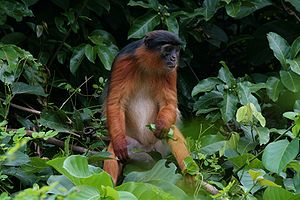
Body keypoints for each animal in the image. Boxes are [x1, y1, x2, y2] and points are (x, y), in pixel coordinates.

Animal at [102, 30, 190, 185]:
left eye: (176, 50)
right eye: (168, 49)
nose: (174, 58)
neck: (147, 65)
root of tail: (148, 147)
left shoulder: (171, 70)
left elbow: (169, 104)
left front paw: (162, 125)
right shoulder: (123, 61)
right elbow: (115, 102)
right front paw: (118, 143)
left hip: (159, 148)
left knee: (172, 130)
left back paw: (192, 176)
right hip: (135, 144)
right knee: (112, 149)